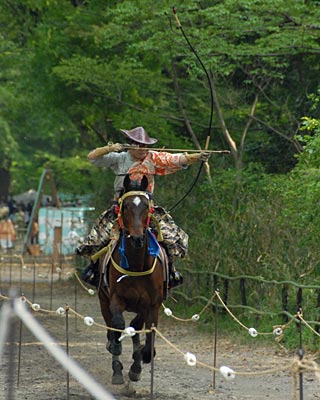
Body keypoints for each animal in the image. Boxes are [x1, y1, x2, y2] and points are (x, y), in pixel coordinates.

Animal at [97, 175, 166, 384]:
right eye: (126, 206)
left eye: (145, 206)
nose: (137, 238)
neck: (136, 265)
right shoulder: (115, 298)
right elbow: (119, 324)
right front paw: (117, 356)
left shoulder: (152, 304)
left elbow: (147, 333)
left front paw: (141, 358)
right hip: (103, 299)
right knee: (112, 325)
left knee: (136, 327)